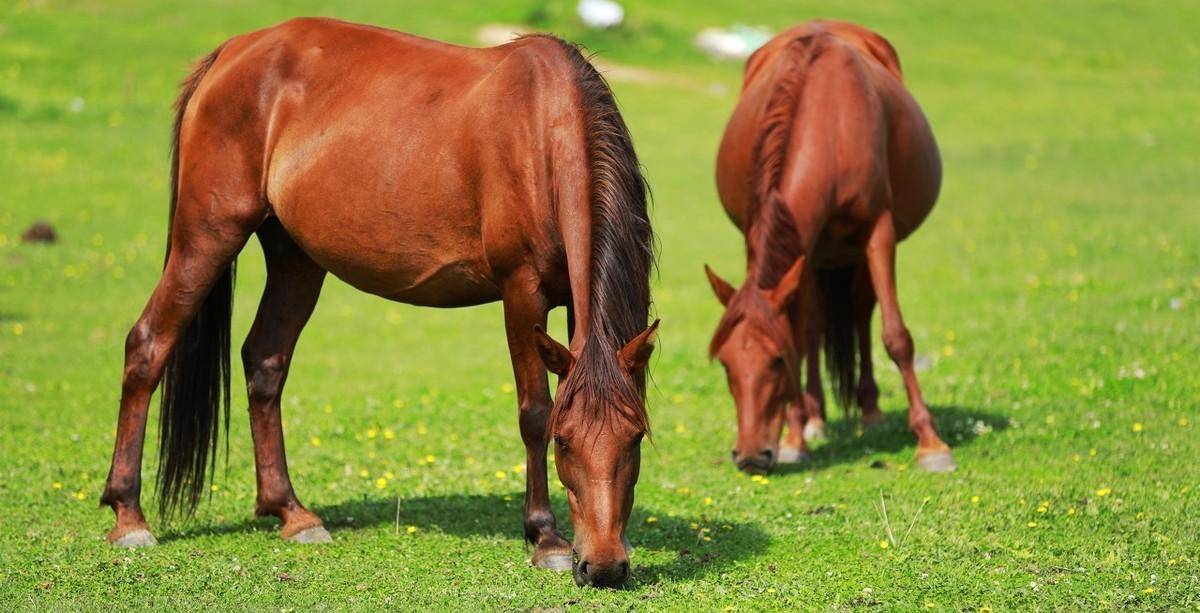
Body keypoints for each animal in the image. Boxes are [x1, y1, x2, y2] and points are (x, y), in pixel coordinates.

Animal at [96, 16, 657, 587]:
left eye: (636, 438)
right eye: (565, 442)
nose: (603, 567)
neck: (542, 133)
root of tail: (232, 52)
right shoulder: (522, 292)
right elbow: (534, 411)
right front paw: (545, 538)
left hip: (295, 257)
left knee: (265, 362)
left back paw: (292, 514)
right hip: (207, 234)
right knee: (148, 345)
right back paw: (129, 516)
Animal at [700, 20, 955, 475]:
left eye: (776, 361)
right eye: (726, 363)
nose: (750, 456)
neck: (829, 125)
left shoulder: (878, 231)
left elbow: (895, 336)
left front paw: (931, 444)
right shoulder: (786, 245)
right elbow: (803, 336)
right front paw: (795, 438)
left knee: (860, 314)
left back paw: (870, 413)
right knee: (816, 326)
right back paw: (815, 419)